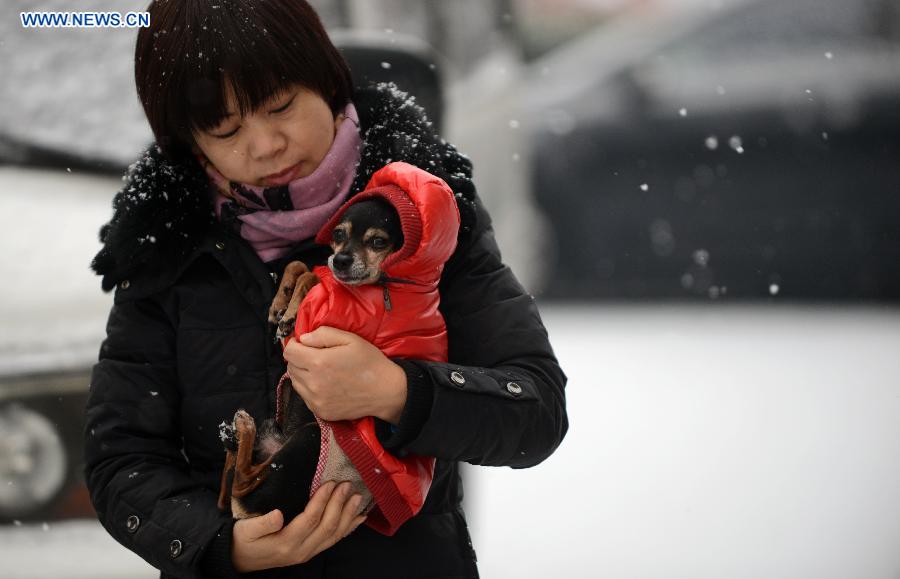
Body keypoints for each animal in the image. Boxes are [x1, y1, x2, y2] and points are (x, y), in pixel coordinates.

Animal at [216, 199, 402, 520]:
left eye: (379, 242)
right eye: (338, 233)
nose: (340, 260)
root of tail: (248, 516)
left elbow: (312, 276)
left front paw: (290, 312)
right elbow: (299, 265)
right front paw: (281, 302)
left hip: (309, 442)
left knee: (242, 483)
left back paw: (242, 429)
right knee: (228, 493)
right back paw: (232, 436)